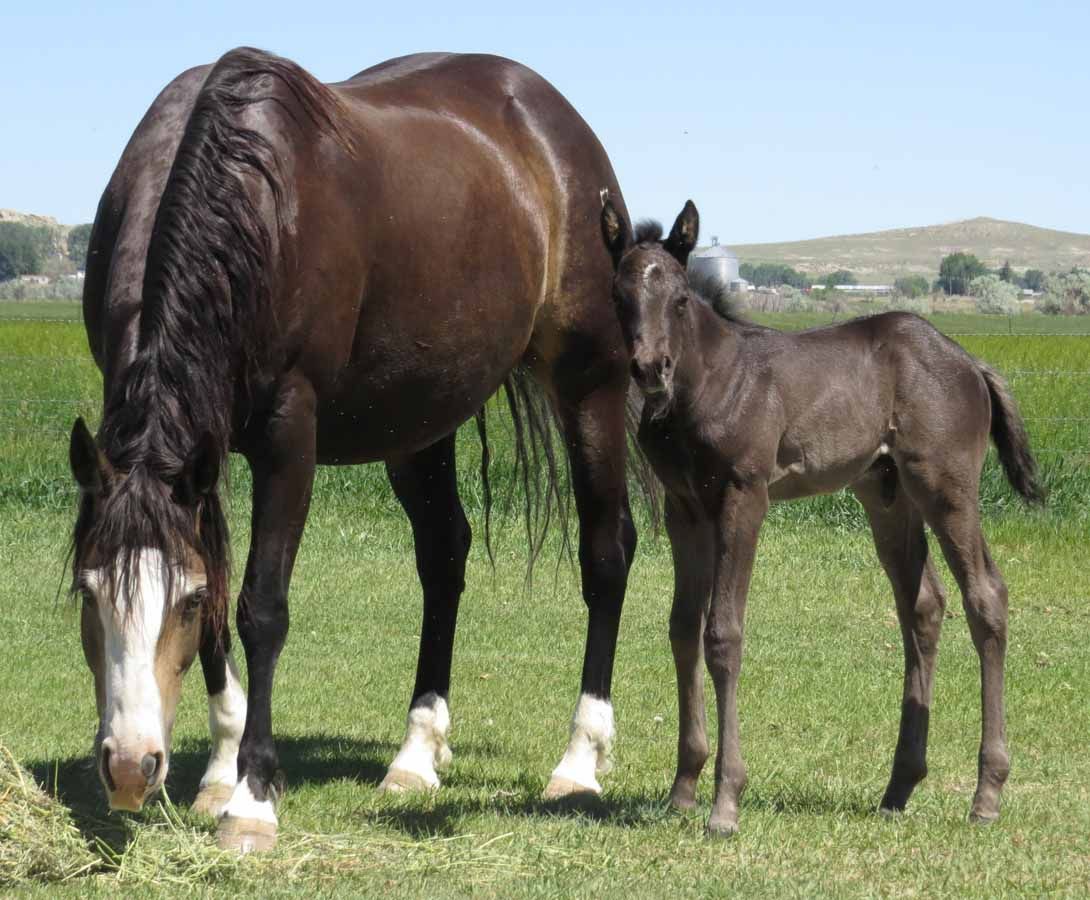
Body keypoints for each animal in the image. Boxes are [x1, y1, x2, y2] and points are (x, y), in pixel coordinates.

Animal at [70, 47, 640, 852]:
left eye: (180, 601)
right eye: (87, 593)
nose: (128, 767)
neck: (252, 206)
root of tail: (557, 123)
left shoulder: (288, 433)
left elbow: (259, 605)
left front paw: (252, 796)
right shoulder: (198, 455)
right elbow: (221, 582)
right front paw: (217, 772)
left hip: (591, 385)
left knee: (606, 554)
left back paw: (579, 761)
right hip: (419, 420)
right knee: (444, 555)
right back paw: (415, 755)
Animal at [599, 199, 1044, 835]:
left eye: (680, 298)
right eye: (620, 295)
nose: (650, 368)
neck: (707, 380)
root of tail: (969, 361)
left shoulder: (743, 497)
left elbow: (722, 633)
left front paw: (725, 802)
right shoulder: (685, 507)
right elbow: (683, 628)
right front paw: (682, 789)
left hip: (945, 486)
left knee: (985, 596)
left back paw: (986, 794)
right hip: (886, 495)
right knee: (923, 606)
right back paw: (899, 787)